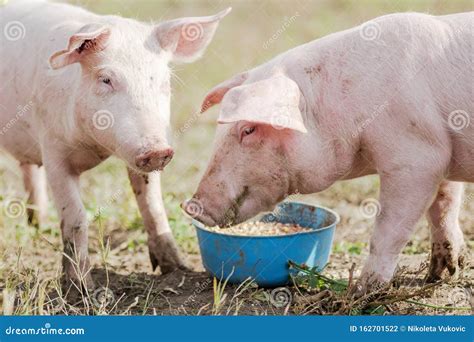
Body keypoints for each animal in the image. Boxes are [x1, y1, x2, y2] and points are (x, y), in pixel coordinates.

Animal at [185, 12, 474, 292]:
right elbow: (444, 206)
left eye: (248, 130)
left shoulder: (416, 156)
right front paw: (441, 275)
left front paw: (364, 290)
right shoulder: (442, 152)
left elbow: (389, 228)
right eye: (219, 127)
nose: (191, 206)